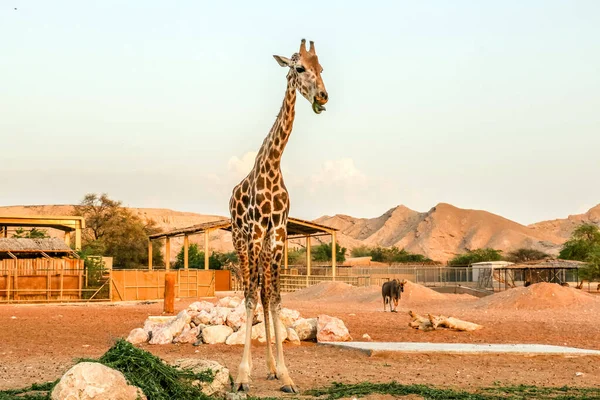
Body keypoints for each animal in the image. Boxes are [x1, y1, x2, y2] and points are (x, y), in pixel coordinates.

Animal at [229, 39, 328, 392]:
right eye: (299, 68)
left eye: (321, 68)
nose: (323, 96)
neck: (272, 166)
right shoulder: (257, 231)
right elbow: (250, 298)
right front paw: (242, 376)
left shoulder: (279, 232)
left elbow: (275, 298)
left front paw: (285, 375)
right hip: (240, 240)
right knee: (251, 292)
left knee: (262, 291)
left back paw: (271, 367)